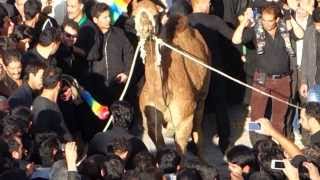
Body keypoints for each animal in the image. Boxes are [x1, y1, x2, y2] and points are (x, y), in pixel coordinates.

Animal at [134, 0, 211, 155]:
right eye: (134, 15)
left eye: (155, 14)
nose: (145, 27)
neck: (163, 96)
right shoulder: (150, 121)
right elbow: (160, 145)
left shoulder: (184, 121)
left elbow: (180, 150)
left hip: (203, 94)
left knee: (198, 128)